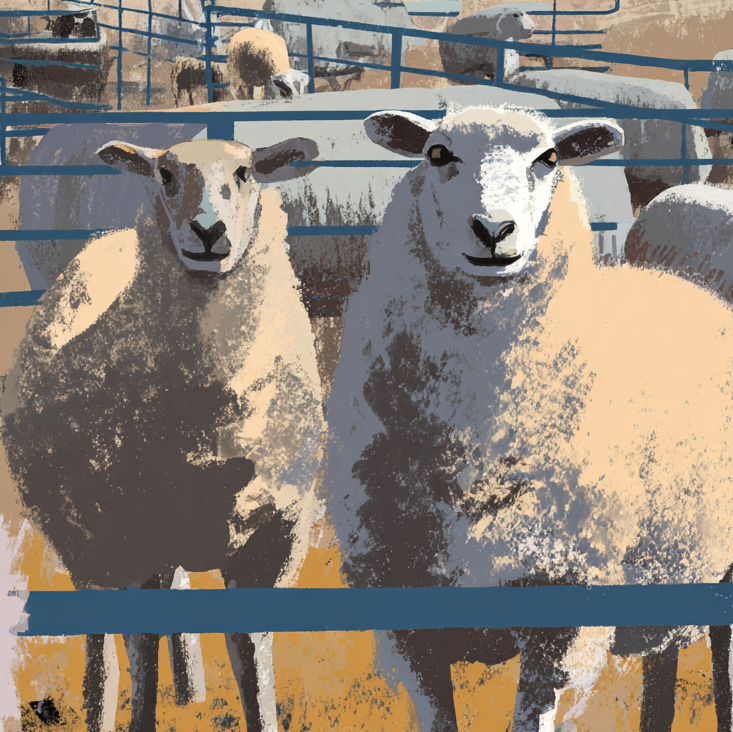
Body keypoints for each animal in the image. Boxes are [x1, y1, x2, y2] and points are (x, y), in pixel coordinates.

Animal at [1, 136, 325, 732]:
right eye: (166, 175)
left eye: (246, 173)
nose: (208, 232)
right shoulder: (137, 538)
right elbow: (142, 653)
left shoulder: (272, 540)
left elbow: (250, 657)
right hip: (90, 545)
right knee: (103, 648)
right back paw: (101, 709)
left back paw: (192, 691)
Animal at [324, 105, 733, 732]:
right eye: (437, 154)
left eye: (549, 159)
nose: (494, 230)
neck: (476, 443)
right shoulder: (408, 614)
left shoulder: (562, 612)